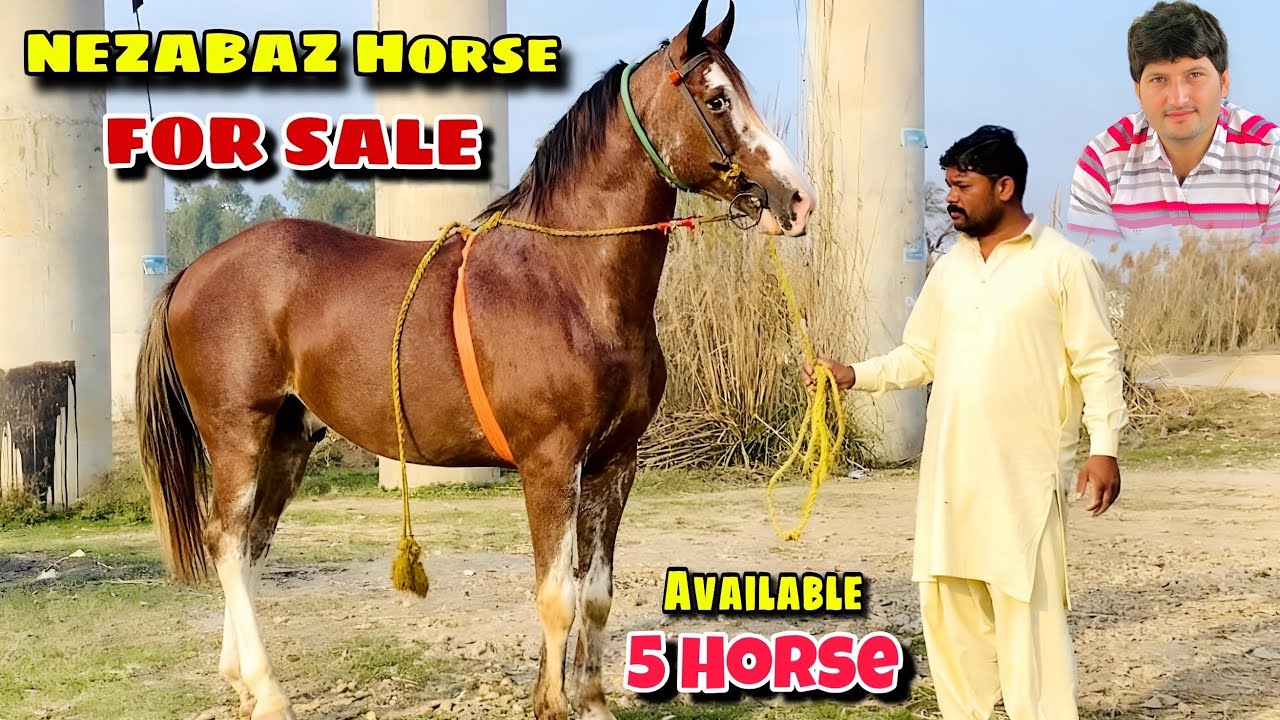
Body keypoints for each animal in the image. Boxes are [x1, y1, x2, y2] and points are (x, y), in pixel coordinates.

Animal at [135, 2, 814, 718]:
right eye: (717, 99)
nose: (796, 200)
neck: (568, 281)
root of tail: (193, 271)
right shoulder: (550, 464)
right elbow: (557, 596)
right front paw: (552, 703)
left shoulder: (615, 462)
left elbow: (597, 595)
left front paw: (591, 699)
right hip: (237, 432)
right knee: (227, 541)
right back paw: (267, 690)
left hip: (289, 438)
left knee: (250, 546)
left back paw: (241, 678)